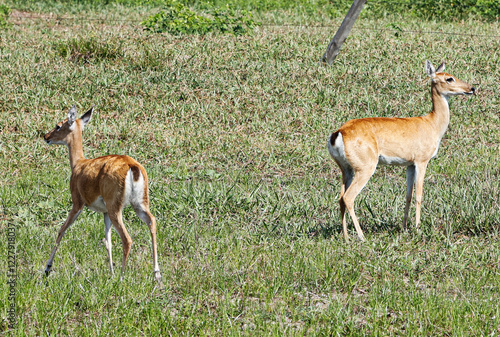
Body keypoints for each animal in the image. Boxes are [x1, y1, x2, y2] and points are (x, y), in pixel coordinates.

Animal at [43, 105, 161, 280]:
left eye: (58, 125)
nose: (46, 136)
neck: (77, 164)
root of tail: (133, 167)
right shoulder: (104, 212)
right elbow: (108, 240)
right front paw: (110, 271)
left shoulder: (77, 202)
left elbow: (62, 229)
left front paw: (47, 268)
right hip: (139, 202)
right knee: (152, 221)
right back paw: (156, 275)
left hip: (115, 205)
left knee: (127, 239)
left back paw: (121, 278)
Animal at [328, 60, 476, 239]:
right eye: (449, 78)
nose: (471, 88)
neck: (432, 124)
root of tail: (338, 134)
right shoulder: (421, 160)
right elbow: (419, 194)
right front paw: (418, 228)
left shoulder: (409, 164)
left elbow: (408, 195)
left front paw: (405, 227)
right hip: (365, 166)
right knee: (349, 197)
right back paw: (361, 236)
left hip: (346, 168)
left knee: (340, 197)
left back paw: (346, 237)